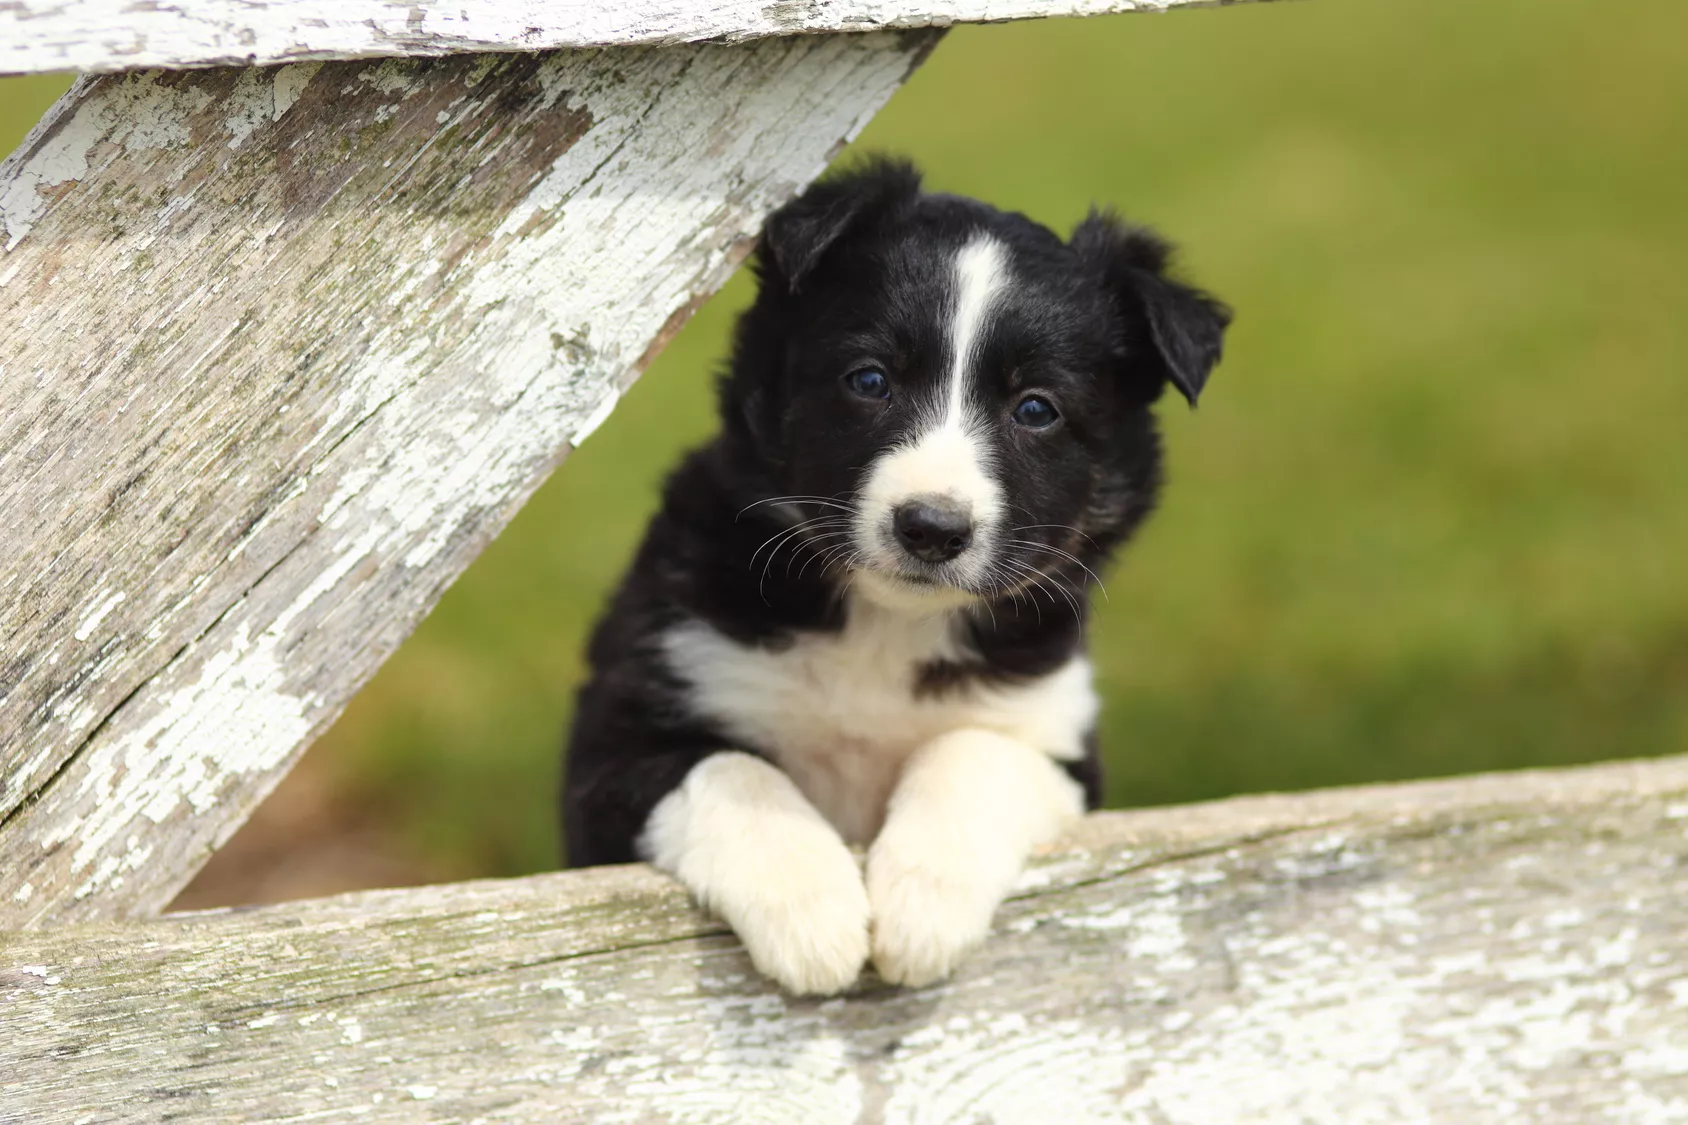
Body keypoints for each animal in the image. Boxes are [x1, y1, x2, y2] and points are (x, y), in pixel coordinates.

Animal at [560, 157, 1235, 993]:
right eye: (870, 379)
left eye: (1036, 409)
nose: (932, 528)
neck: (885, 624)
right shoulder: (620, 734)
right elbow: (731, 770)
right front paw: (811, 910)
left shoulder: (1057, 738)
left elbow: (972, 751)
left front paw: (922, 909)